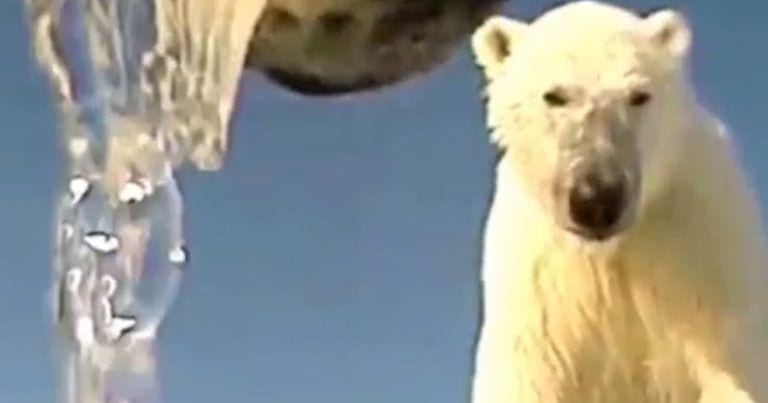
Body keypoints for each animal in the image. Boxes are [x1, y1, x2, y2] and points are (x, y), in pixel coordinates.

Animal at [469, 2, 768, 402]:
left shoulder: (700, 248)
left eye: (638, 95)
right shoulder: (537, 279)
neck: (609, 251)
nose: (597, 198)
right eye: (555, 95)